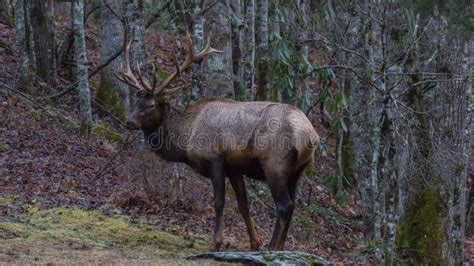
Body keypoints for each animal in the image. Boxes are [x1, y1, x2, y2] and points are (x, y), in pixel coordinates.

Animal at [116, 32, 320, 250]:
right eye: (135, 101)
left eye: (151, 104)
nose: (129, 122)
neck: (186, 139)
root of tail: (310, 135)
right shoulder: (235, 168)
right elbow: (243, 204)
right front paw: (254, 243)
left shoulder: (215, 158)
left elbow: (219, 201)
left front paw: (216, 242)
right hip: (297, 170)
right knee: (293, 204)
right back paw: (279, 248)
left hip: (275, 164)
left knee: (284, 205)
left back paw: (273, 247)